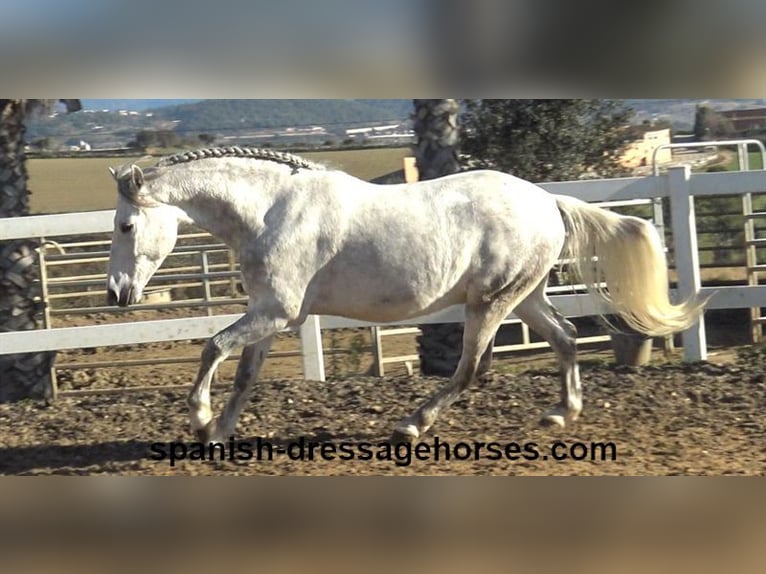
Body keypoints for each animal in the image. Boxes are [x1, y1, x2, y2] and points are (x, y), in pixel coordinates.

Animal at [105, 148, 704, 446]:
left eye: (126, 225)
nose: (116, 295)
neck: (271, 211)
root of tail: (546, 200)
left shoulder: (277, 312)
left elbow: (212, 348)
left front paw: (199, 419)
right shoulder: (268, 315)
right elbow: (245, 374)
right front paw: (218, 433)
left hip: (490, 302)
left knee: (470, 368)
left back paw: (412, 424)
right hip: (524, 297)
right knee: (567, 337)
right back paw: (561, 414)